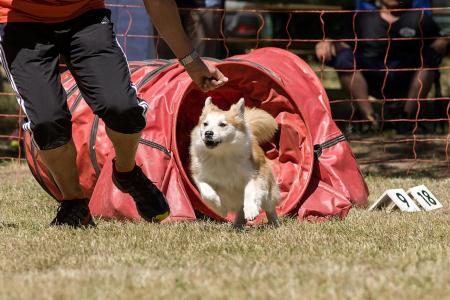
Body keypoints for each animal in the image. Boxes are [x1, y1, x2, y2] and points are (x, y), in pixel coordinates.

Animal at [188, 97, 280, 229]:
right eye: (205, 124)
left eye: (222, 124)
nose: (208, 133)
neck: (220, 154)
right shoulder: (200, 175)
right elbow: (207, 193)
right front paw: (220, 208)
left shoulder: (253, 173)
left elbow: (250, 190)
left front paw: (251, 210)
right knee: (240, 209)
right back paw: (237, 225)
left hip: (269, 189)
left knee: (269, 206)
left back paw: (274, 223)